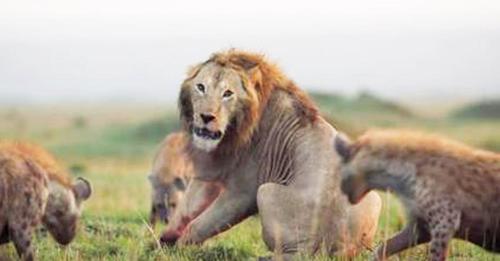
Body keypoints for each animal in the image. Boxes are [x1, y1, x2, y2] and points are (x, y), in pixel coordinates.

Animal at [160, 49, 382, 258]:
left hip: (266, 192)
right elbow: (186, 207)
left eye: (228, 93)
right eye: (201, 87)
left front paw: (178, 249)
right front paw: (164, 239)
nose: (206, 117)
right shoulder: (213, 170)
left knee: (296, 253)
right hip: (373, 197)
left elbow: (200, 224)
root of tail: (339, 246)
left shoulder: (244, 190)